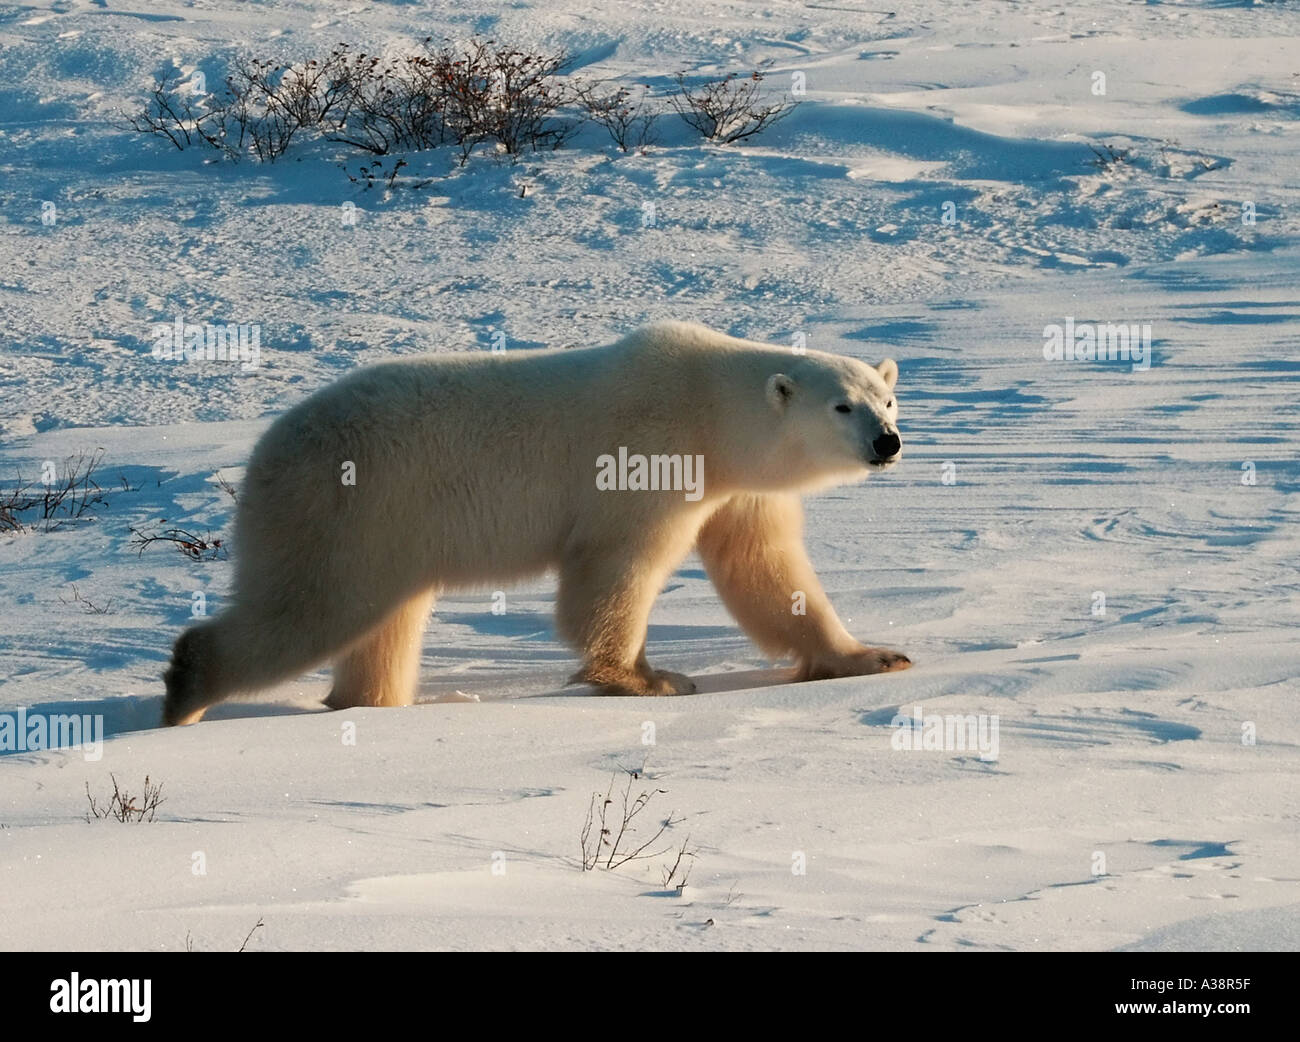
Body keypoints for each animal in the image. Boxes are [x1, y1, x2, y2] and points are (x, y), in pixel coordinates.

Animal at [162, 321, 909, 726]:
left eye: (887, 397)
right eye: (842, 406)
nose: (888, 442)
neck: (713, 411)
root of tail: (266, 452)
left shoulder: (735, 489)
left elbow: (768, 571)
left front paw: (873, 656)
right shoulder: (647, 458)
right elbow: (615, 568)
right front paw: (647, 678)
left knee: (381, 624)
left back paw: (370, 702)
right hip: (348, 509)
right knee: (311, 607)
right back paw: (186, 694)